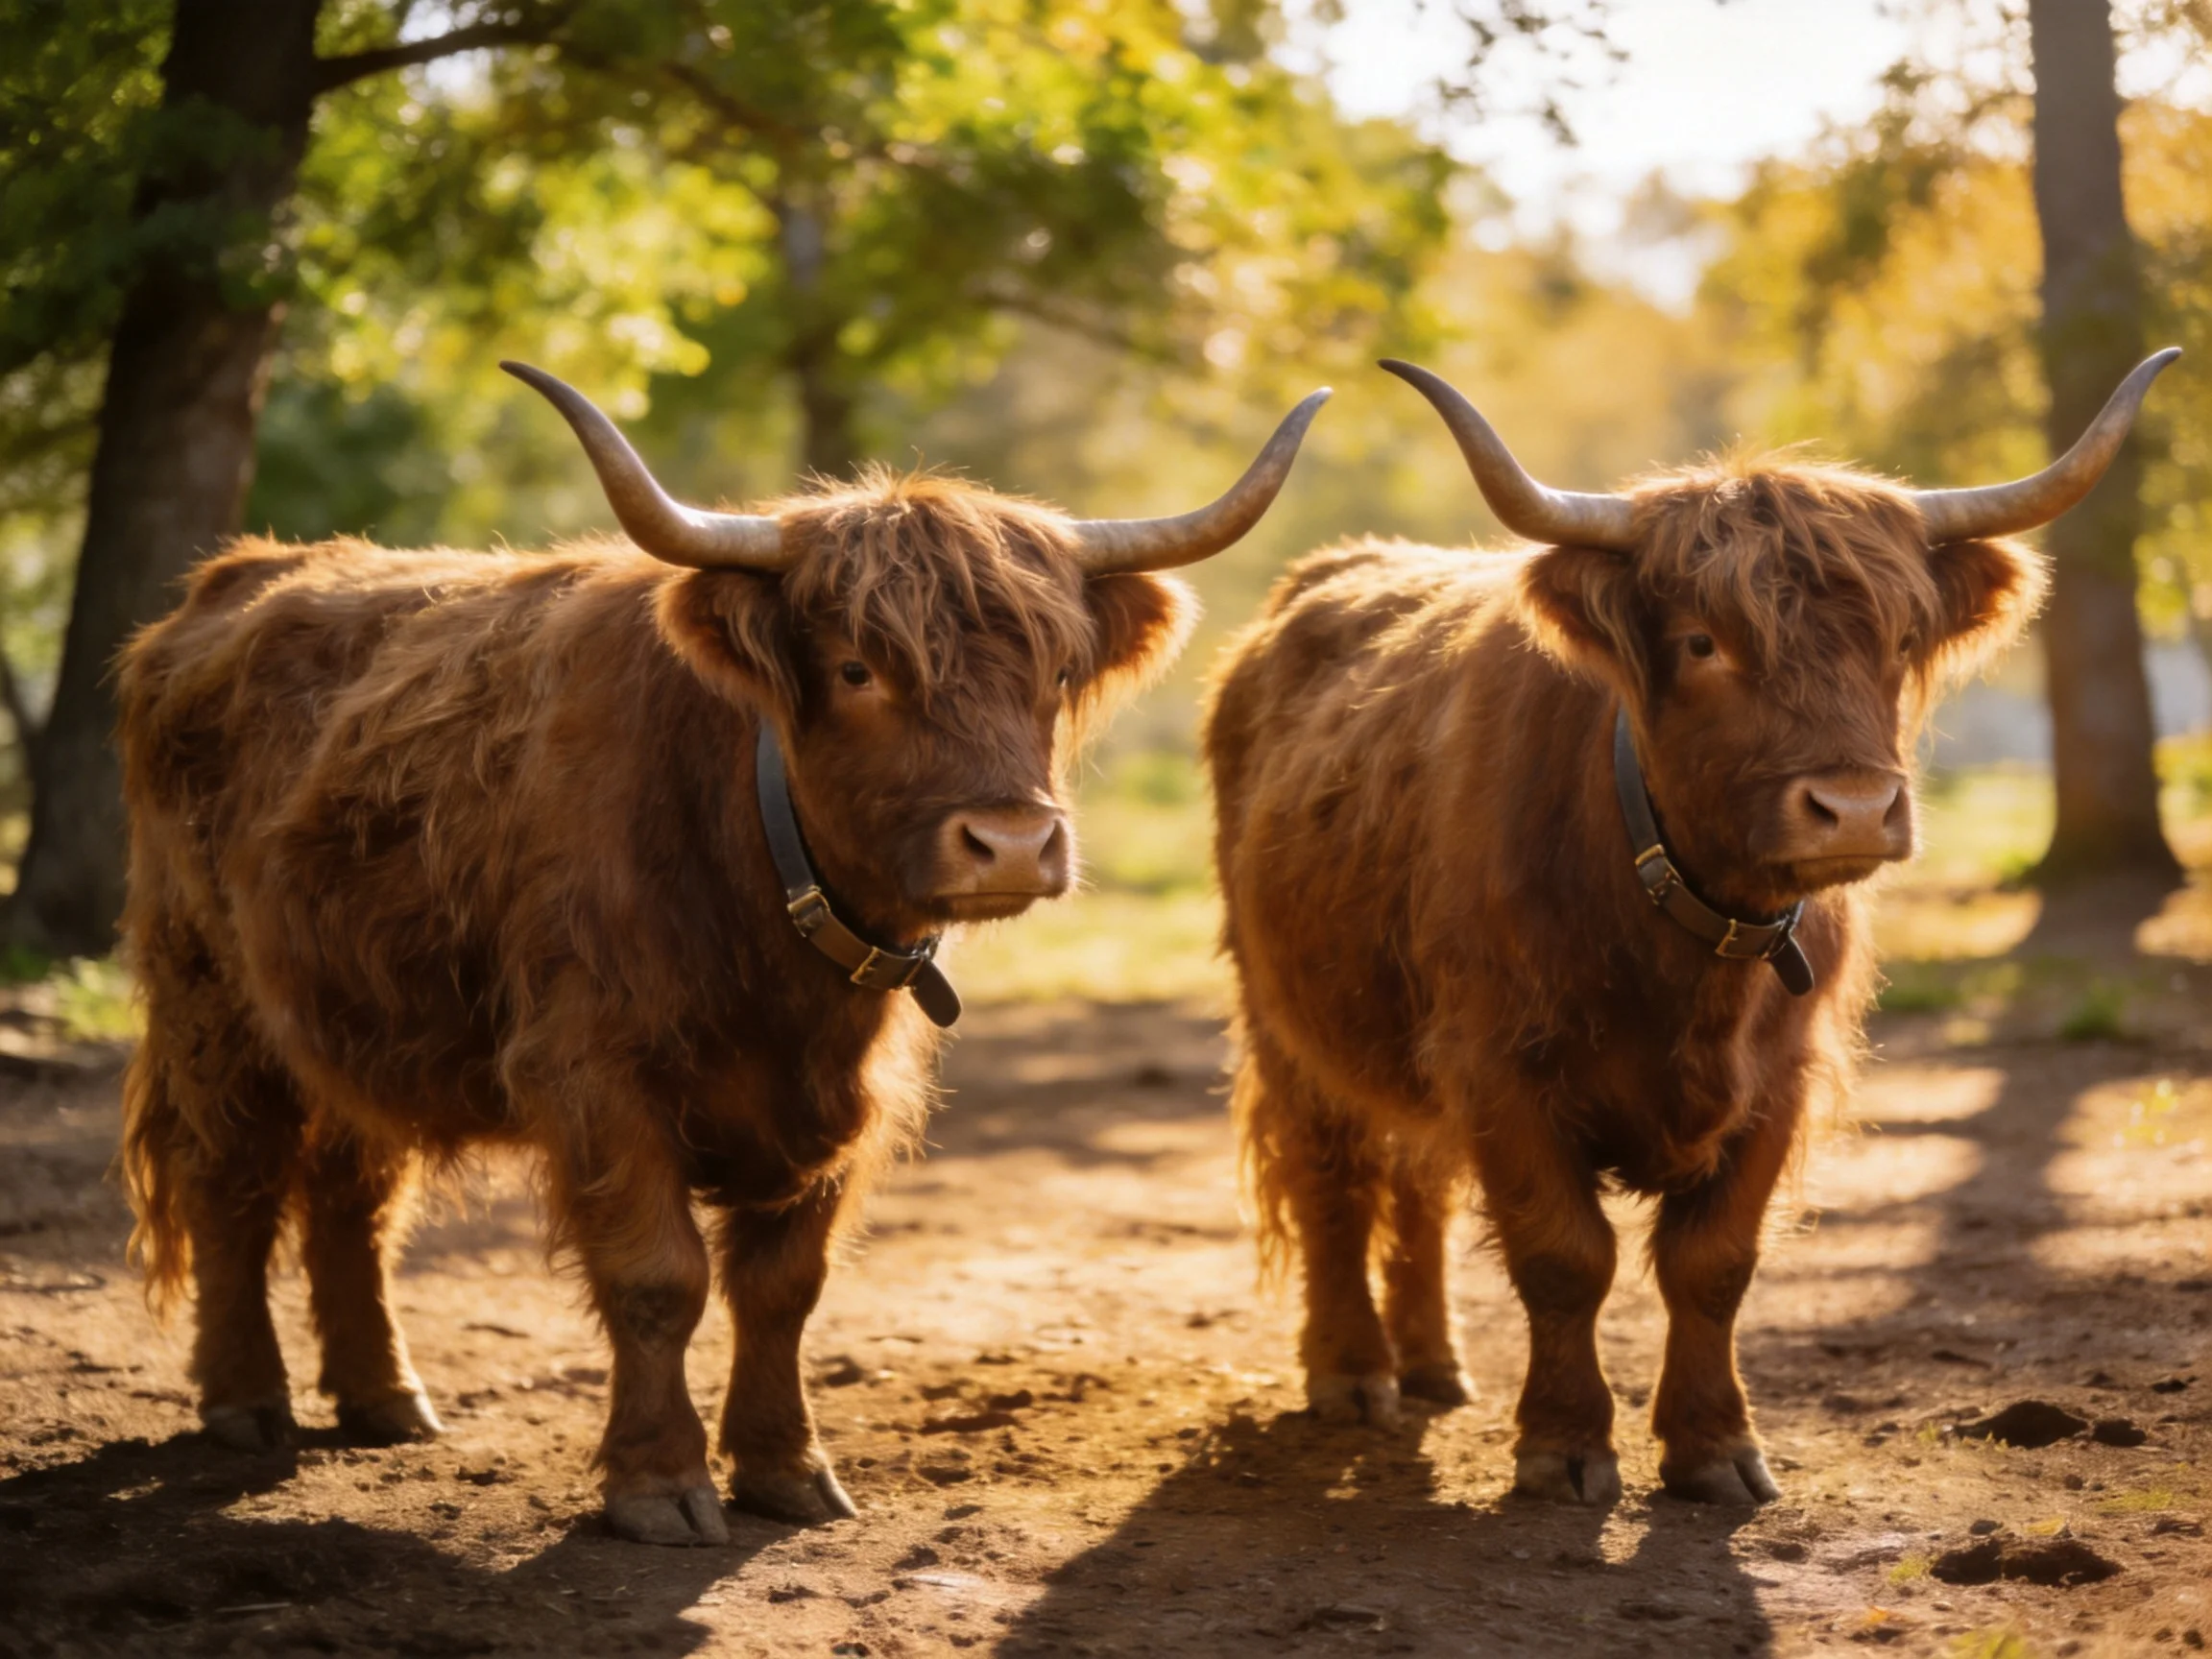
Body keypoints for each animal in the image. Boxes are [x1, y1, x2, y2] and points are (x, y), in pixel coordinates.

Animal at [118, 363, 1327, 1545]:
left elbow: (785, 1285)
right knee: (231, 1179)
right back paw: (246, 1401)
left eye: (1055, 675)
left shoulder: (842, 1099)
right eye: (856, 669)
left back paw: (384, 1400)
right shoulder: (593, 1072)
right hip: (210, 1001)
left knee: (350, 1197)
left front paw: (786, 1468)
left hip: (354, 1015)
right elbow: (661, 1277)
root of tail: (232, 582)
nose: (1012, 844)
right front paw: (658, 1483)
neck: (767, 932)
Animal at [1204, 350, 2176, 1506]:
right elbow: (1564, 1255)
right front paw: (1564, 1446)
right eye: (1705, 643)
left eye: (1899, 639)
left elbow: (1713, 1265)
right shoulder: (1499, 1066)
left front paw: (1714, 1447)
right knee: (1334, 1179)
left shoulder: (1780, 1079)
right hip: (1284, 1020)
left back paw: (1435, 1365)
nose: (1855, 808)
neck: (1685, 944)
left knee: (1416, 1184)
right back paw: (1353, 1373)